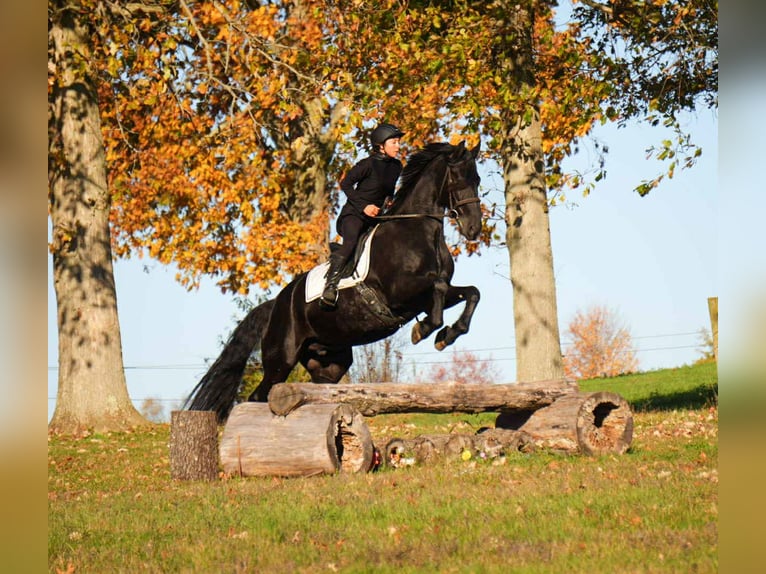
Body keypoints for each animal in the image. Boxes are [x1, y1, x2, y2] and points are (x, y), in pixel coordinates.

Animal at [185, 141, 483, 422]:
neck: (417, 229)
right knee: (258, 395)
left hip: (328, 364)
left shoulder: (427, 297)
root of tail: (275, 305)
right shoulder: (402, 293)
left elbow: (471, 292)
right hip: (281, 358)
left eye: (477, 180)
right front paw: (425, 330)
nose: (473, 229)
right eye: (458, 179)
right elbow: (438, 289)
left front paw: (447, 335)